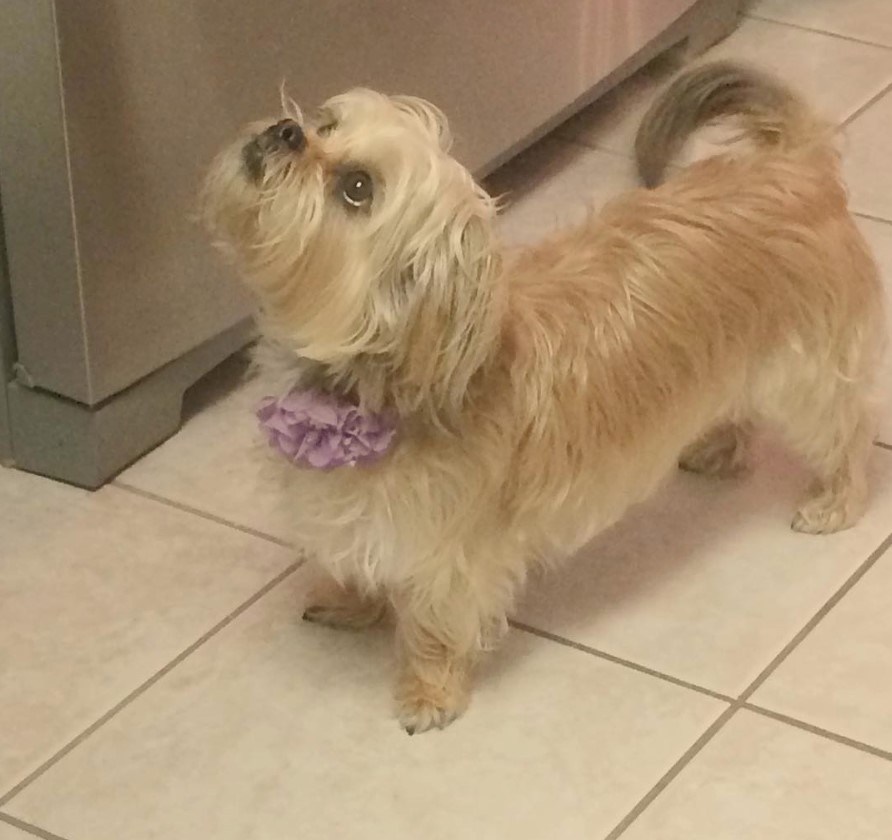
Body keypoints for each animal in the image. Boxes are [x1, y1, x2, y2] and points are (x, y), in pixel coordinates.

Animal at [204, 60, 884, 728]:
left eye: (356, 188)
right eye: (326, 122)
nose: (287, 131)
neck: (367, 380)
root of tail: (794, 165)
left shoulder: (452, 556)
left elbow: (435, 623)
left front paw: (429, 692)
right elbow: (361, 562)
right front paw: (353, 602)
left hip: (806, 376)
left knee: (845, 430)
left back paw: (836, 501)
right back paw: (718, 447)